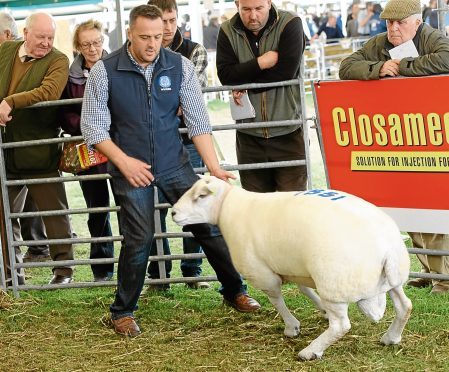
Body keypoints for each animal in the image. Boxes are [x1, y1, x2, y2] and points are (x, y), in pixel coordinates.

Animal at [170, 177, 412, 360]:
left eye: (201, 196)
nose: (172, 212)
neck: (227, 209)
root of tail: (387, 246)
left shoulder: (261, 271)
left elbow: (276, 299)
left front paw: (291, 327)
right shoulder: (296, 266)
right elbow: (304, 289)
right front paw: (320, 309)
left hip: (334, 282)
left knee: (341, 326)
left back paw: (310, 351)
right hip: (391, 277)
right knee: (405, 305)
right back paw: (391, 337)